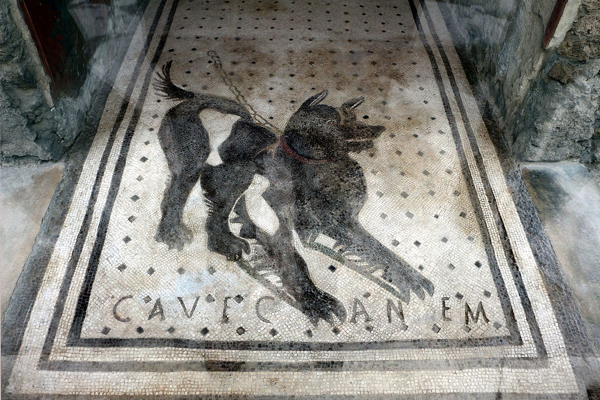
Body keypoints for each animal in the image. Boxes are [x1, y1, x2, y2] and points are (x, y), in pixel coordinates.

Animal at [155, 62, 434, 324]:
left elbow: (380, 251)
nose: (377, 130)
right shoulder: (281, 226)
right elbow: (295, 262)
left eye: (354, 118)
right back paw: (175, 233)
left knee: (215, 213)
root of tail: (195, 100)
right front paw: (317, 302)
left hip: (231, 174)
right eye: (334, 122)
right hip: (197, 162)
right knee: (175, 197)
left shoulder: (341, 223)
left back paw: (224, 242)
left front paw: (411, 278)